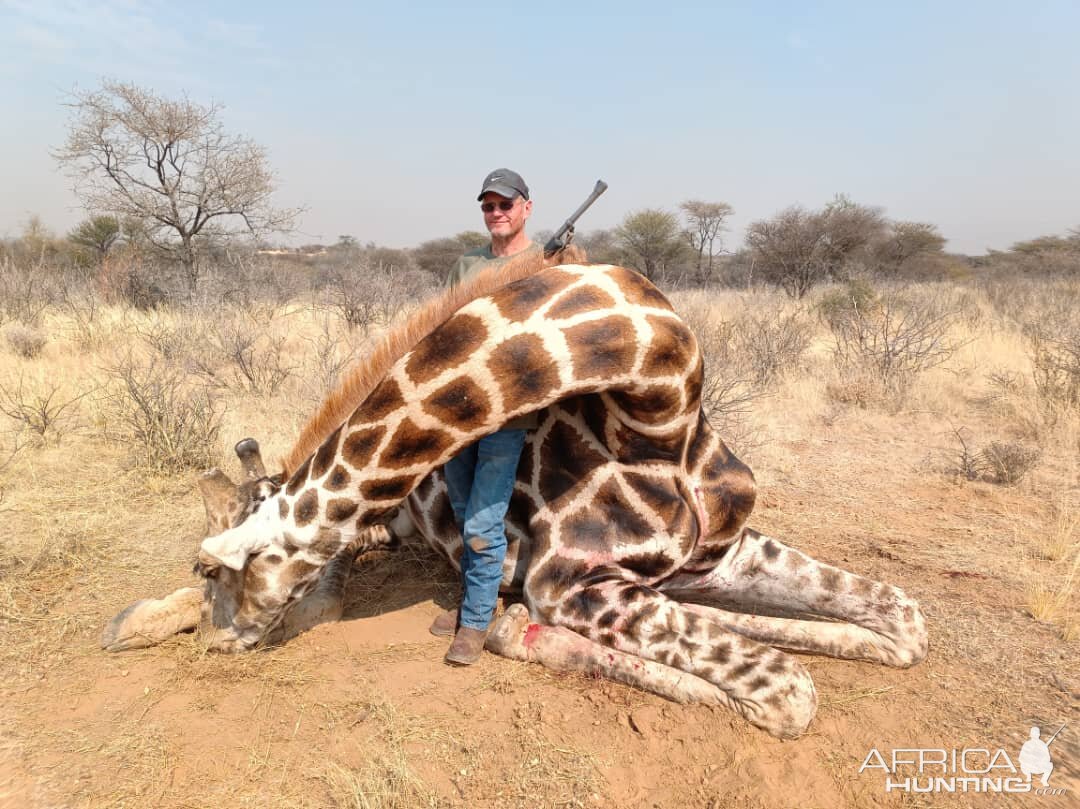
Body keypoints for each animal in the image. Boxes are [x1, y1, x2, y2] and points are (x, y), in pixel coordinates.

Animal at [103, 247, 928, 738]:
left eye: (214, 569)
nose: (216, 641)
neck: (658, 417)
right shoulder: (576, 585)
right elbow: (787, 690)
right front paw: (510, 625)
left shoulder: (715, 554)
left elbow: (902, 620)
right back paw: (126, 623)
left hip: (387, 527)